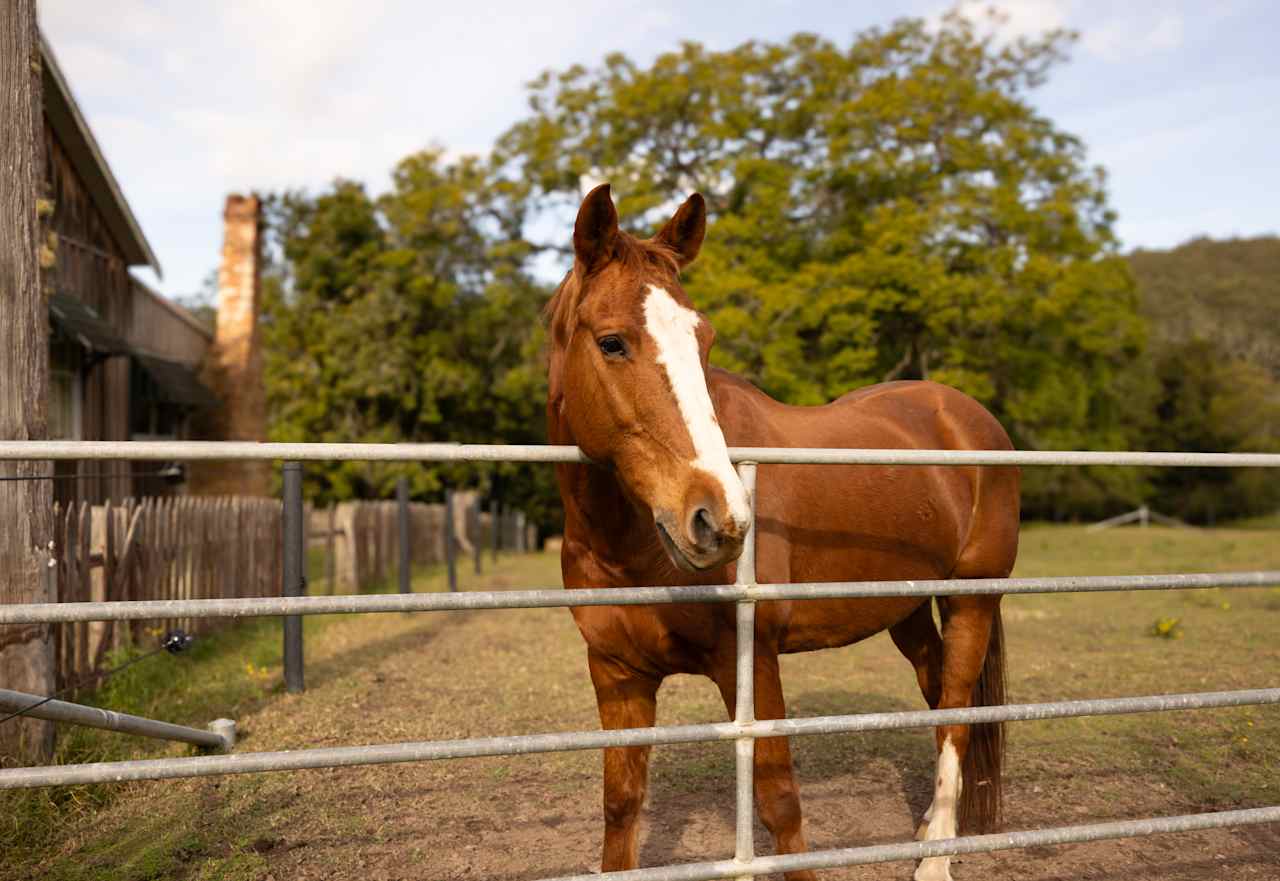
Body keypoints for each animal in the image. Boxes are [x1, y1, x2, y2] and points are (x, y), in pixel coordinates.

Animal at [550, 185, 1018, 881]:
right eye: (611, 343)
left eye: (704, 342)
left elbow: (778, 801)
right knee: (938, 696)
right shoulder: (617, 674)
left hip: (972, 600)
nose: (719, 518)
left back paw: (935, 856)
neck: (626, 545)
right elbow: (621, 807)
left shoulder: (751, 661)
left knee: (959, 708)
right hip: (904, 609)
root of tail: (967, 416)